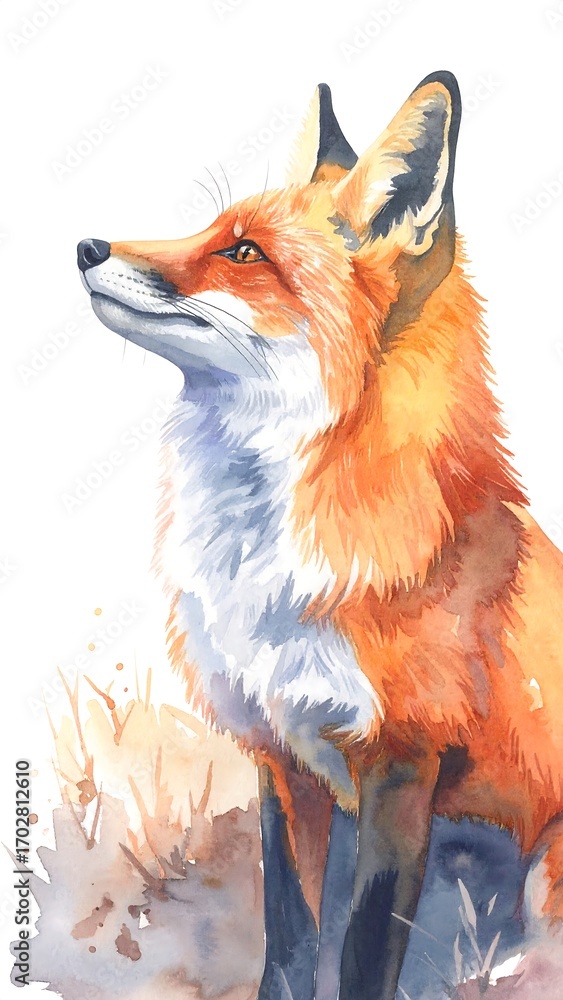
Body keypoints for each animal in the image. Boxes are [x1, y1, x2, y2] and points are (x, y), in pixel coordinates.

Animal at [77, 72, 563, 1000]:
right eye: (211, 230)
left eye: (244, 253)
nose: (85, 245)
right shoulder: (284, 759)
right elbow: (292, 943)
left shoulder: (403, 766)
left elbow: (364, 951)